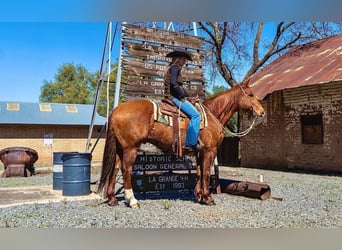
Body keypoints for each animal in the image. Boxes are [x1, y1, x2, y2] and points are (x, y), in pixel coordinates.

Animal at [97, 79, 266, 207]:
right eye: (250, 94)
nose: (262, 112)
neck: (212, 114)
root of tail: (116, 109)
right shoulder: (209, 150)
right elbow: (206, 173)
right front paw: (208, 198)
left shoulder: (199, 151)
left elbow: (199, 172)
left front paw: (199, 196)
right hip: (130, 148)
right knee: (126, 169)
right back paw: (132, 201)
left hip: (120, 148)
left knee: (114, 169)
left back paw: (112, 199)